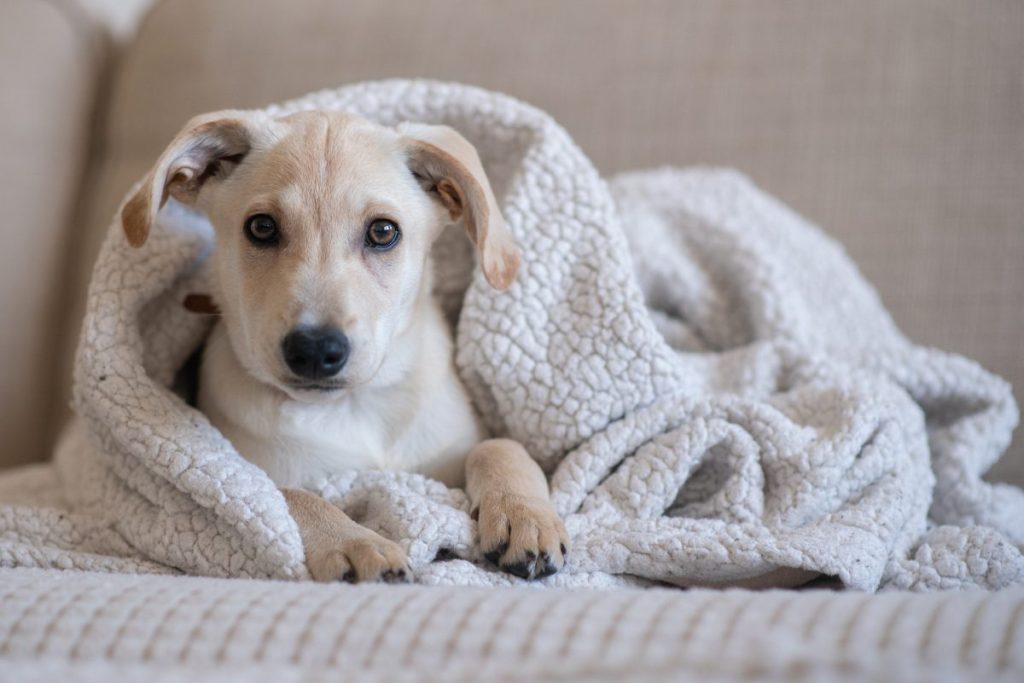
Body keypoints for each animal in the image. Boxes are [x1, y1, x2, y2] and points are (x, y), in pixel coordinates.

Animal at [121, 109, 569, 585]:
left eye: (383, 231)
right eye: (261, 227)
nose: (315, 351)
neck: (353, 409)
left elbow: (500, 446)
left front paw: (524, 516)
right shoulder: (246, 473)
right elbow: (289, 496)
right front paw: (356, 543)